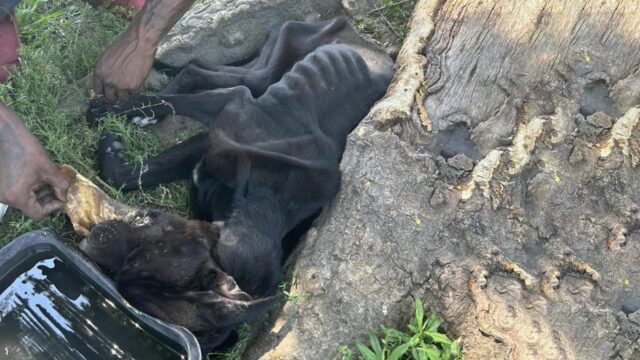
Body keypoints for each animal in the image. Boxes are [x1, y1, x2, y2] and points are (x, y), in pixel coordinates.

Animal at [82, 17, 392, 352]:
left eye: (134, 268)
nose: (92, 239)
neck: (260, 201)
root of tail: (371, 43)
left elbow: (133, 174)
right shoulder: (224, 118)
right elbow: (162, 118)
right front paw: (109, 111)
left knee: (199, 69)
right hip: (270, 66)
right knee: (199, 72)